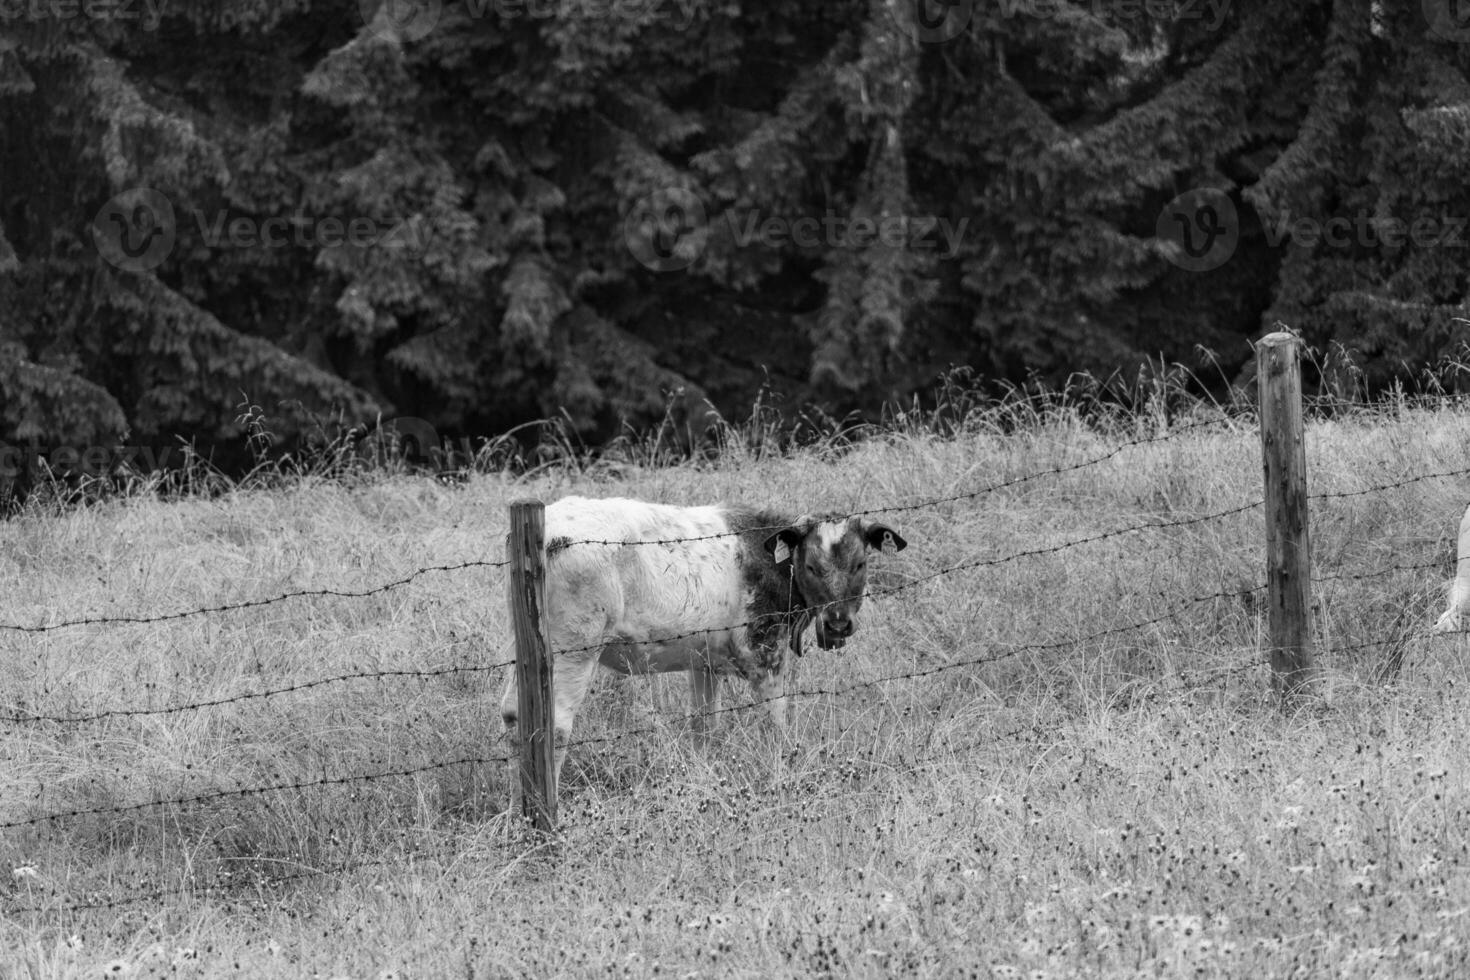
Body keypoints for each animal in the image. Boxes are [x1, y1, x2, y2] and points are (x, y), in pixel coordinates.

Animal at [502, 499, 905, 781]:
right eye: (810, 566)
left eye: (859, 565)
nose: (838, 624)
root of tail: (551, 528)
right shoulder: (764, 653)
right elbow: (775, 723)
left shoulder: (704, 662)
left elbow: (704, 726)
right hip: (572, 650)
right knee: (554, 727)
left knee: (512, 715)